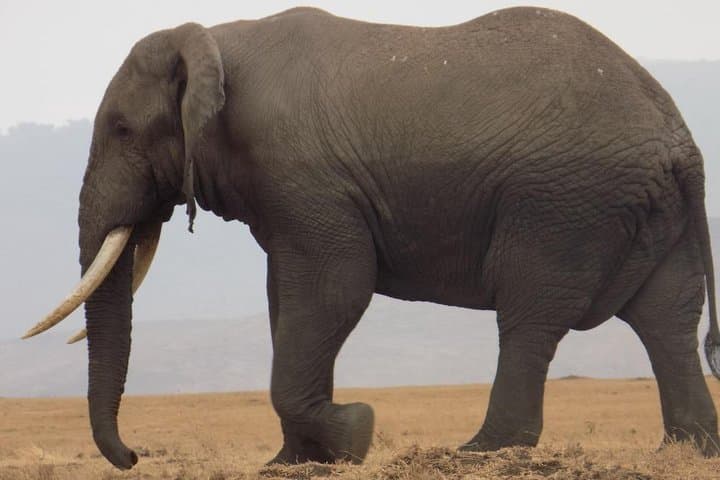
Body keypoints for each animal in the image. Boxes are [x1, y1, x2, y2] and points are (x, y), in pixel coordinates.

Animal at [25, 6, 720, 470]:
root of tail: (680, 140)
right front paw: (293, 464)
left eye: (121, 129)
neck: (213, 39)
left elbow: (335, 287)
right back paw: (686, 449)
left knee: (531, 316)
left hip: (563, 203)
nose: (135, 456)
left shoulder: (305, 176)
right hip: (641, 210)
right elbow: (287, 300)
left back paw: (478, 452)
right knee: (667, 319)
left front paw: (356, 433)